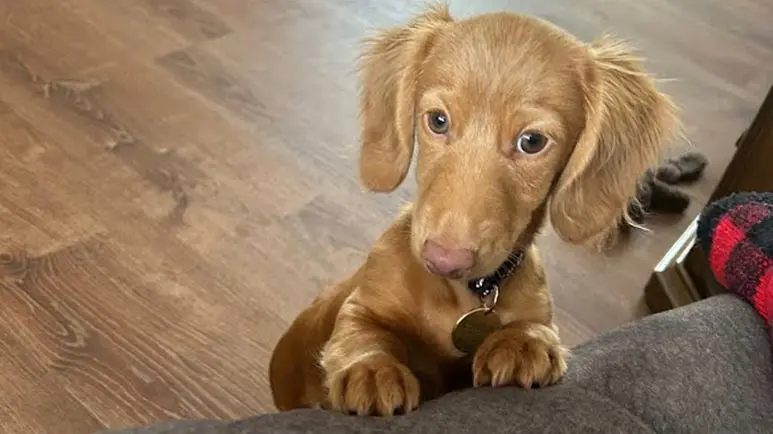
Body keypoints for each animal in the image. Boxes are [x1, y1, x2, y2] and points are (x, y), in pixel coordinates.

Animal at [270, 3, 676, 418]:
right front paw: (370, 369)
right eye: (438, 120)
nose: (444, 260)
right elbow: (361, 329)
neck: (467, 293)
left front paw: (522, 342)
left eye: (532, 142)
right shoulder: (363, 302)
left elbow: (534, 326)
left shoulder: (534, 308)